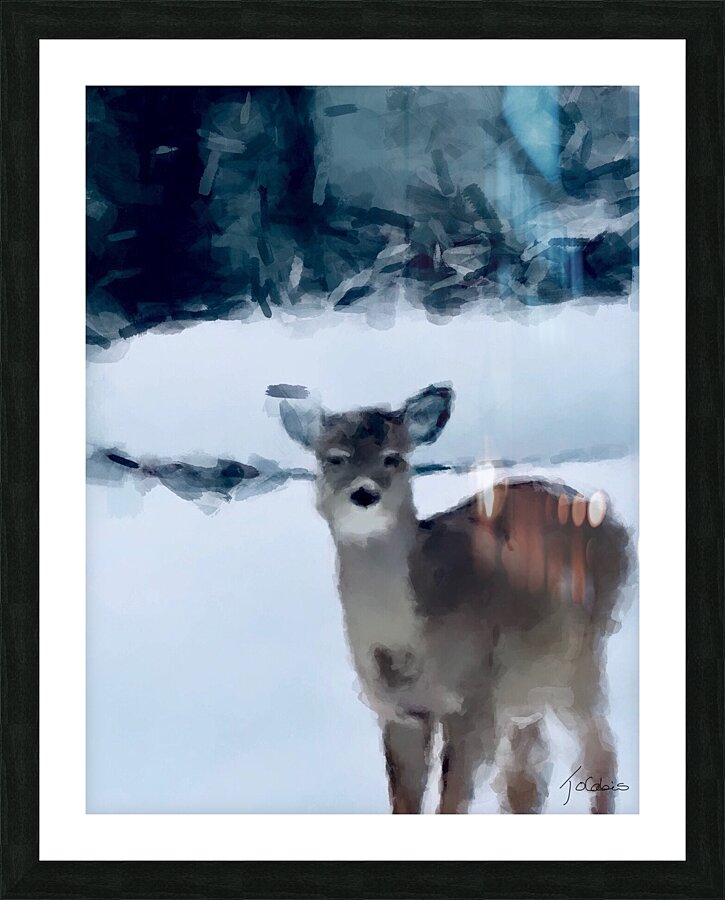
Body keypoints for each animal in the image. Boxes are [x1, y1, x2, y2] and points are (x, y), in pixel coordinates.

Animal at [274, 383, 633, 814]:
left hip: (580, 660)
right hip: (527, 685)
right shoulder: (397, 711)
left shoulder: (474, 697)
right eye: (334, 458)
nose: (364, 493)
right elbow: (404, 802)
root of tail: (617, 525)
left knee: (598, 751)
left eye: (394, 457)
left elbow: (452, 801)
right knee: (527, 777)